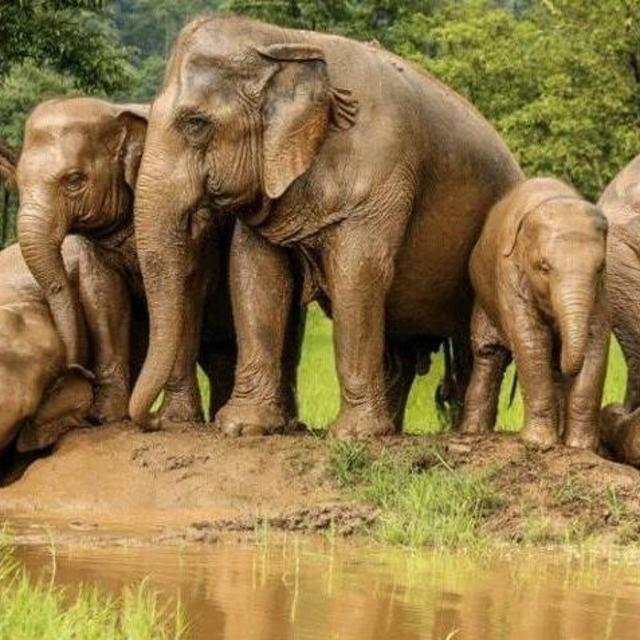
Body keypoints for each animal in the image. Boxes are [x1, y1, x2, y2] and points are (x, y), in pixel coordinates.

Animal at [15, 97, 257, 427]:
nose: (75, 371)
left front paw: (175, 420)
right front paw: (104, 417)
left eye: (74, 180)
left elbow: (188, 288)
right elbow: (102, 297)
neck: (114, 110)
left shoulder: (199, 225)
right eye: (17, 182)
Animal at [128, 14, 523, 438]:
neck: (285, 41)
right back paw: (395, 426)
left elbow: (358, 272)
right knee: (400, 351)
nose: (155, 421)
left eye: (196, 123)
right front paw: (241, 426)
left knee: (470, 348)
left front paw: (352, 435)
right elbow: (255, 273)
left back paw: (465, 432)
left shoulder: (382, 173)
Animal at [459, 177, 609, 449]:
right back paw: (472, 433)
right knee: (488, 354)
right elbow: (531, 338)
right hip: (482, 296)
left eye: (600, 266)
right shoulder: (509, 273)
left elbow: (597, 339)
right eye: (544, 267)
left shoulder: (600, 289)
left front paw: (579, 447)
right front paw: (538, 444)